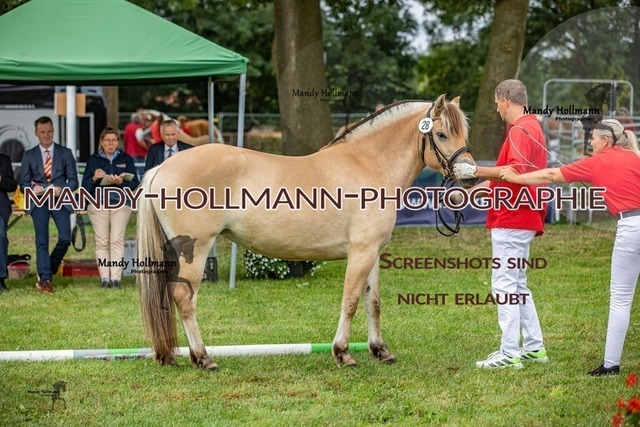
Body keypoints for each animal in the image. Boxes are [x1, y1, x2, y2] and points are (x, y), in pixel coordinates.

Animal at [137, 94, 477, 370]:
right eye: (442, 133)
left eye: (464, 132)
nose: (470, 175)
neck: (368, 165)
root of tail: (162, 168)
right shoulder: (360, 252)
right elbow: (350, 301)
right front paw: (343, 353)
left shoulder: (374, 253)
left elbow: (373, 302)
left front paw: (381, 351)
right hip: (195, 250)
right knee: (184, 298)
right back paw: (203, 358)